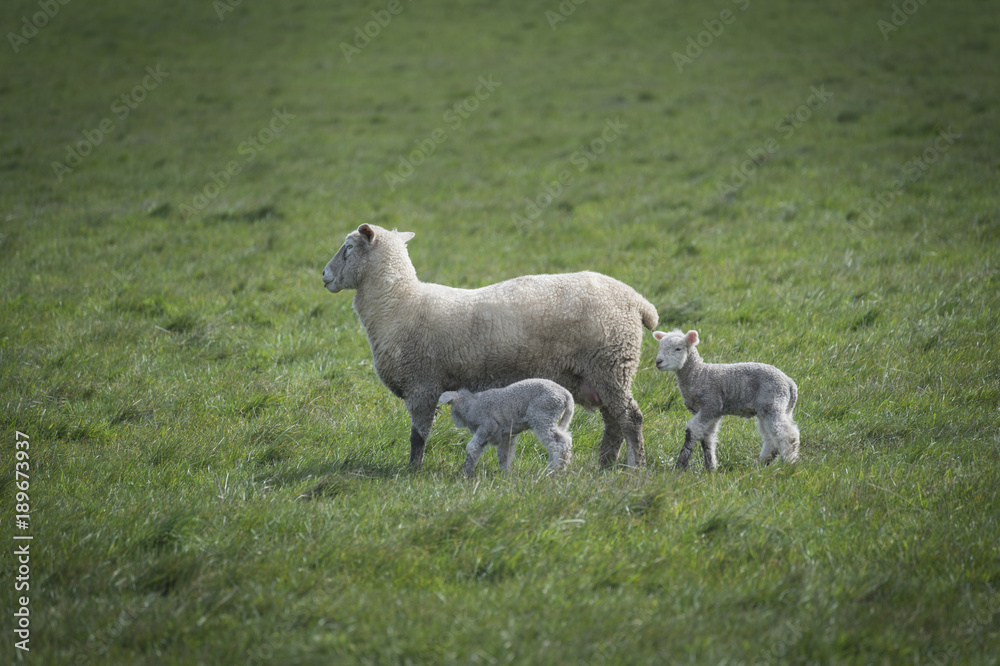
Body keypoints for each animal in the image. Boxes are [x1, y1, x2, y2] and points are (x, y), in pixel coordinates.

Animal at [438, 379, 574, 476]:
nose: (456, 423)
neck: (471, 405)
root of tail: (567, 395)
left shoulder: (487, 426)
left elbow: (472, 448)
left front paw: (465, 473)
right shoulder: (506, 435)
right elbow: (504, 454)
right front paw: (504, 476)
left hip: (542, 415)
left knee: (561, 443)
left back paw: (555, 471)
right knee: (555, 445)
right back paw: (552, 469)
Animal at [652, 329, 800, 471]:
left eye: (678, 348)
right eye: (660, 347)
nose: (658, 362)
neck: (698, 374)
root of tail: (790, 384)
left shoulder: (710, 404)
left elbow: (692, 432)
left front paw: (680, 466)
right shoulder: (711, 413)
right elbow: (707, 438)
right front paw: (710, 468)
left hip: (773, 403)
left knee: (787, 435)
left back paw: (789, 464)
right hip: (772, 409)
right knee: (770, 438)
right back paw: (762, 463)